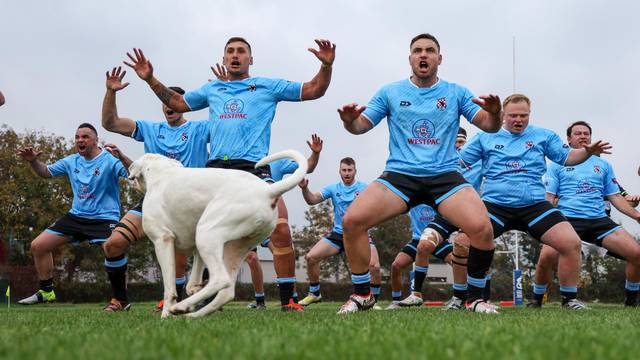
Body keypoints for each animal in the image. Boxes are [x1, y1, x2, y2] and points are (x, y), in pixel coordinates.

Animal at [127, 150, 308, 318]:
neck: (162, 173)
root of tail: (267, 191)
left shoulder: (162, 241)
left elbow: (169, 287)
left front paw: (165, 315)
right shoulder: (195, 247)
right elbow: (192, 279)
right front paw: (194, 290)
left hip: (207, 234)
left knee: (220, 279)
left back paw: (180, 307)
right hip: (232, 248)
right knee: (226, 292)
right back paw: (192, 314)